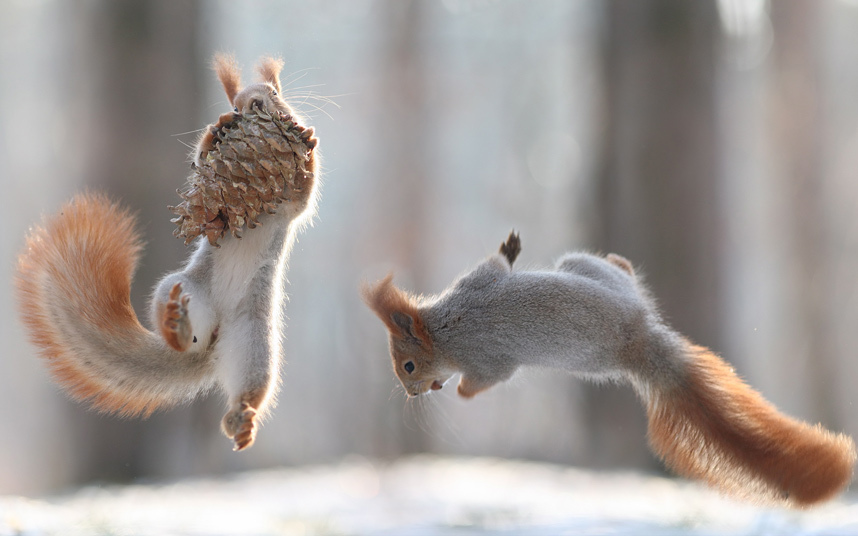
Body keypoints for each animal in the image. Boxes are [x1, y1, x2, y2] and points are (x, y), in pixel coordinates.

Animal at [15, 54, 318, 450]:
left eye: (273, 93)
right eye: (235, 106)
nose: (251, 105)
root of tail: (213, 339)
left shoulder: (293, 207)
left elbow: (304, 193)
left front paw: (307, 141)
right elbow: (202, 159)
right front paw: (215, 130)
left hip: (254, 342)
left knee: (250, 389)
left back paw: (241, 420)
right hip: (180, 288)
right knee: (178, 334)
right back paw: (177, 327)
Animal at [362, 231, 856, 506]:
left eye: (408, 366)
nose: (415, 394)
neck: (444, 329)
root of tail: (639, 335)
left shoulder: (484, 348)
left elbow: (486, 375)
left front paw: (461, 393)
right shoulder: (473, 292)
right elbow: (497, 267)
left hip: (584, 294)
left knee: (612, 266)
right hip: (595, 281)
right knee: (618, 268)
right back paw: (619, 263)